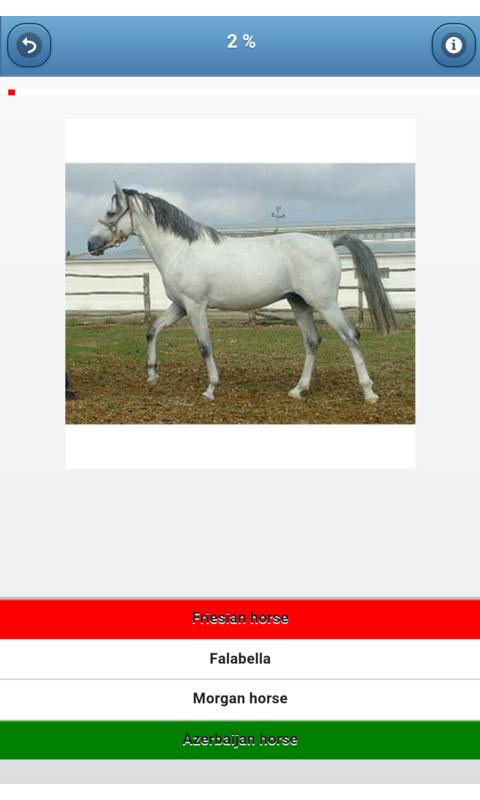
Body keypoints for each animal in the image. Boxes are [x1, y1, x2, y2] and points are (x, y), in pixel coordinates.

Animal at [88, 182, 396, 403]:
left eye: (111, 213)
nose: (91, 244)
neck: (181, 249)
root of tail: (330, 244)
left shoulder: (196, 306)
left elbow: (205, 346)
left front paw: (210, 390)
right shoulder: (180, 306)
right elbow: (152, 330)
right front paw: (152, 374)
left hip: (325, 304)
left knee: (351, 337)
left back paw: (369, 393)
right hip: (299, 304)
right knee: (312, 341)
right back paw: (298, 390)